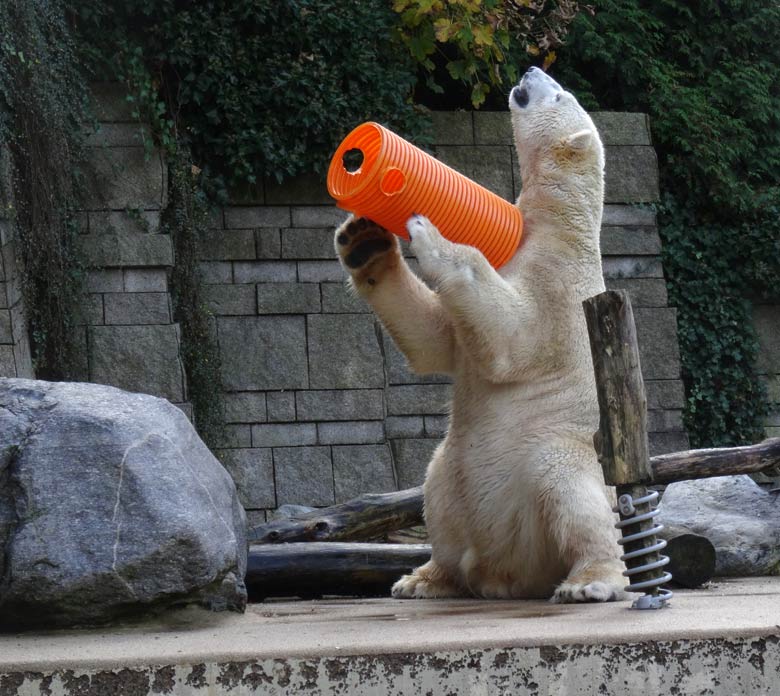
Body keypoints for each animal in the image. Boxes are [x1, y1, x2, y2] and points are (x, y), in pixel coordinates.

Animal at [332, 66, 624, 604]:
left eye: (560, 94)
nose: (531, 70)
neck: (559, 229)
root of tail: (504, 572)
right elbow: (435, 340)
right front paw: (363, 240)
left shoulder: (558, 290)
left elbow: (512, 339)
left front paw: (431, 234)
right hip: (452, 478)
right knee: (438, 488)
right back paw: (424, 578)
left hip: (556, 453)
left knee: (567, 486)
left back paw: (588, 581)